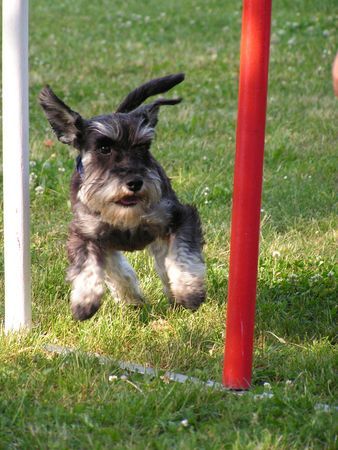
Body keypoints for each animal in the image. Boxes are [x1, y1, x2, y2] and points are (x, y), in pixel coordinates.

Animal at [38, 74, 205, 320]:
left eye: (143, 146)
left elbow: (182, 255)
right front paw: (84, 302)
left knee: (162, 263)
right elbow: (88, 267)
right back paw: (131, 298)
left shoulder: (179, 217)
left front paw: (189, 291)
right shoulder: (85, 234)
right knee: (118, 269)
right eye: (104, 148)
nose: (135, 183)